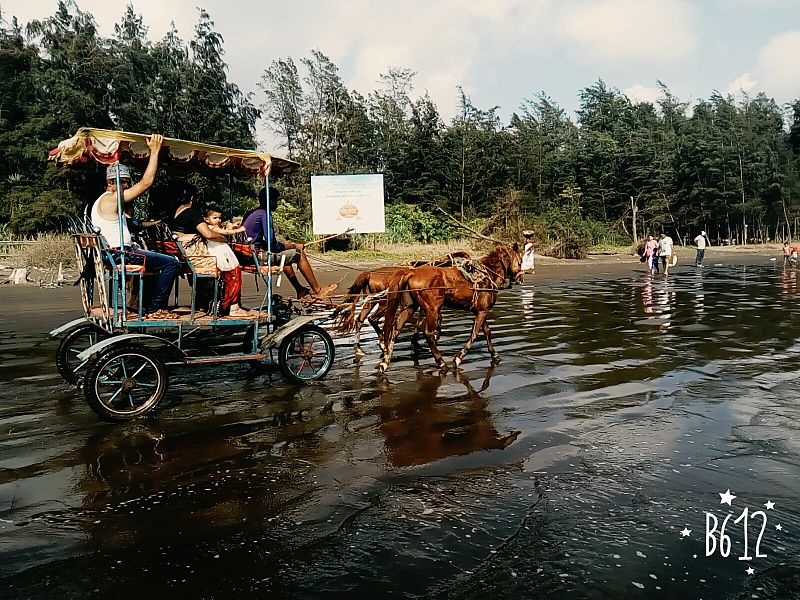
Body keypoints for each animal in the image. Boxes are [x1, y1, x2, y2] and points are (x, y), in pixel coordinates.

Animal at [330, 250, 468, 354]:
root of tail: (370, 273)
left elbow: (421, 321)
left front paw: (418, 341)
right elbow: (436, 318)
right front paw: (435, 335)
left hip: (371, 301)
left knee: (360, 319)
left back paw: (359, 349)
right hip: (383, 302)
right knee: (372, 319)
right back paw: (382, 343)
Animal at [378, 244, 520, 370]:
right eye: (519, 262)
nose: (519, 278)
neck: (486, 275)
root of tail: (411, 273)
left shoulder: (480, 311)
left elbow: (487, 332)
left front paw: (494, 355)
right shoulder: (482, 311)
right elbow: (474, 334)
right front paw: (458, 358)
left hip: (410, 307)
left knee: (396, 329)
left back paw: (385, 361)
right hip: (433, 310)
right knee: (428, 334)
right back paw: (441, 362)